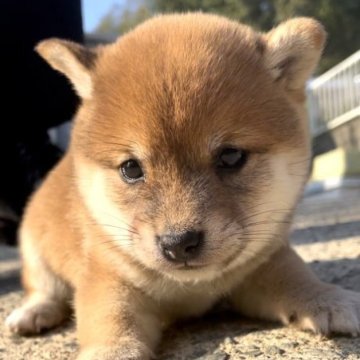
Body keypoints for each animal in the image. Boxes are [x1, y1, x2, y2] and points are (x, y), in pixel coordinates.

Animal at [5, 12, 360, 358]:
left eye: (231, 156)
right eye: (131, 168)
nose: (179, 243)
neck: (191, 288)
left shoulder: (261, 266)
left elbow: (295, 275)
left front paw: (327, 297)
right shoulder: (109, 276)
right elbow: (111, 320)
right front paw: (111, 351)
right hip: (34, 249)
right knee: (43, 289)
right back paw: (31, 313)